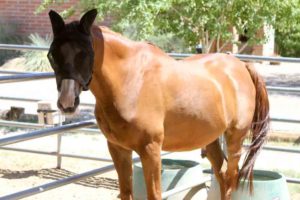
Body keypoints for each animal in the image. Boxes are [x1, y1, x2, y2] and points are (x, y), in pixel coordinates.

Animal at [48, 9, 270, 198]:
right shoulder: (118, 149)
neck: (131, 80)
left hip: (235, 138)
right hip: (211, 137)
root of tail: (241, 65)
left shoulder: (151, 150)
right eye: (51, 55)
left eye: (85, 53)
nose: (67, 102)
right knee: (222, 176)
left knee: (231, 179)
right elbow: (126, 193)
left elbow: (154, 194)